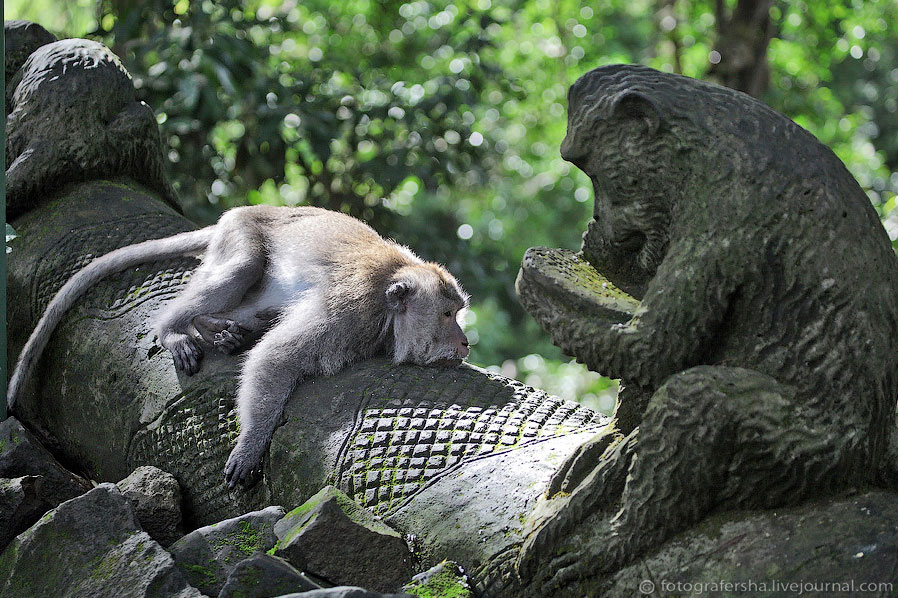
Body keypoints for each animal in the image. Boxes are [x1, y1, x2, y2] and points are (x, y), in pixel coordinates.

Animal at [8, 206, 468, 488]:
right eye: (448, 314)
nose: (465, 341)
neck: (388, 297)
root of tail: (246, 210)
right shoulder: (349, 309)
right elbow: (277, 356)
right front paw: (251, 444)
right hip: (242, 233)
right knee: (243, 266)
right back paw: (176, 329)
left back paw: (220, 329)